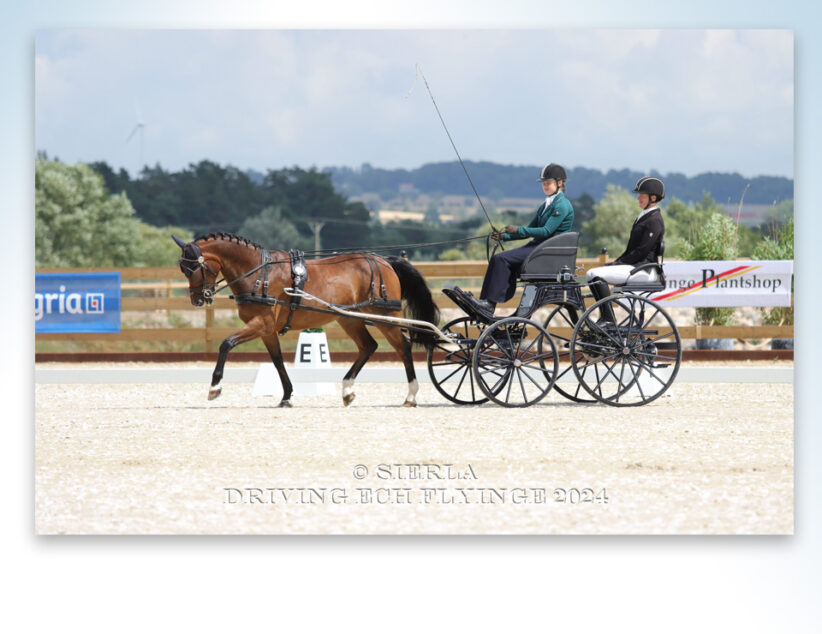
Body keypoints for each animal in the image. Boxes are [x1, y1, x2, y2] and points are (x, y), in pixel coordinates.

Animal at [171, 232, 440, 404]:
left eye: (193, 267)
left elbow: (226, 344)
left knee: (402, 345)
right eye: (182, 268)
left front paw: (214, 387)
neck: (259, 273)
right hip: (349, 319)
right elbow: (277, 361)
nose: (197, 299)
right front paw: (286, 396)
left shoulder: (261, 324)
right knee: (368, 346)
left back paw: (411, 395)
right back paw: (347, 390)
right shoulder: (267, 330)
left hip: (386, 315)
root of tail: (384, 260)